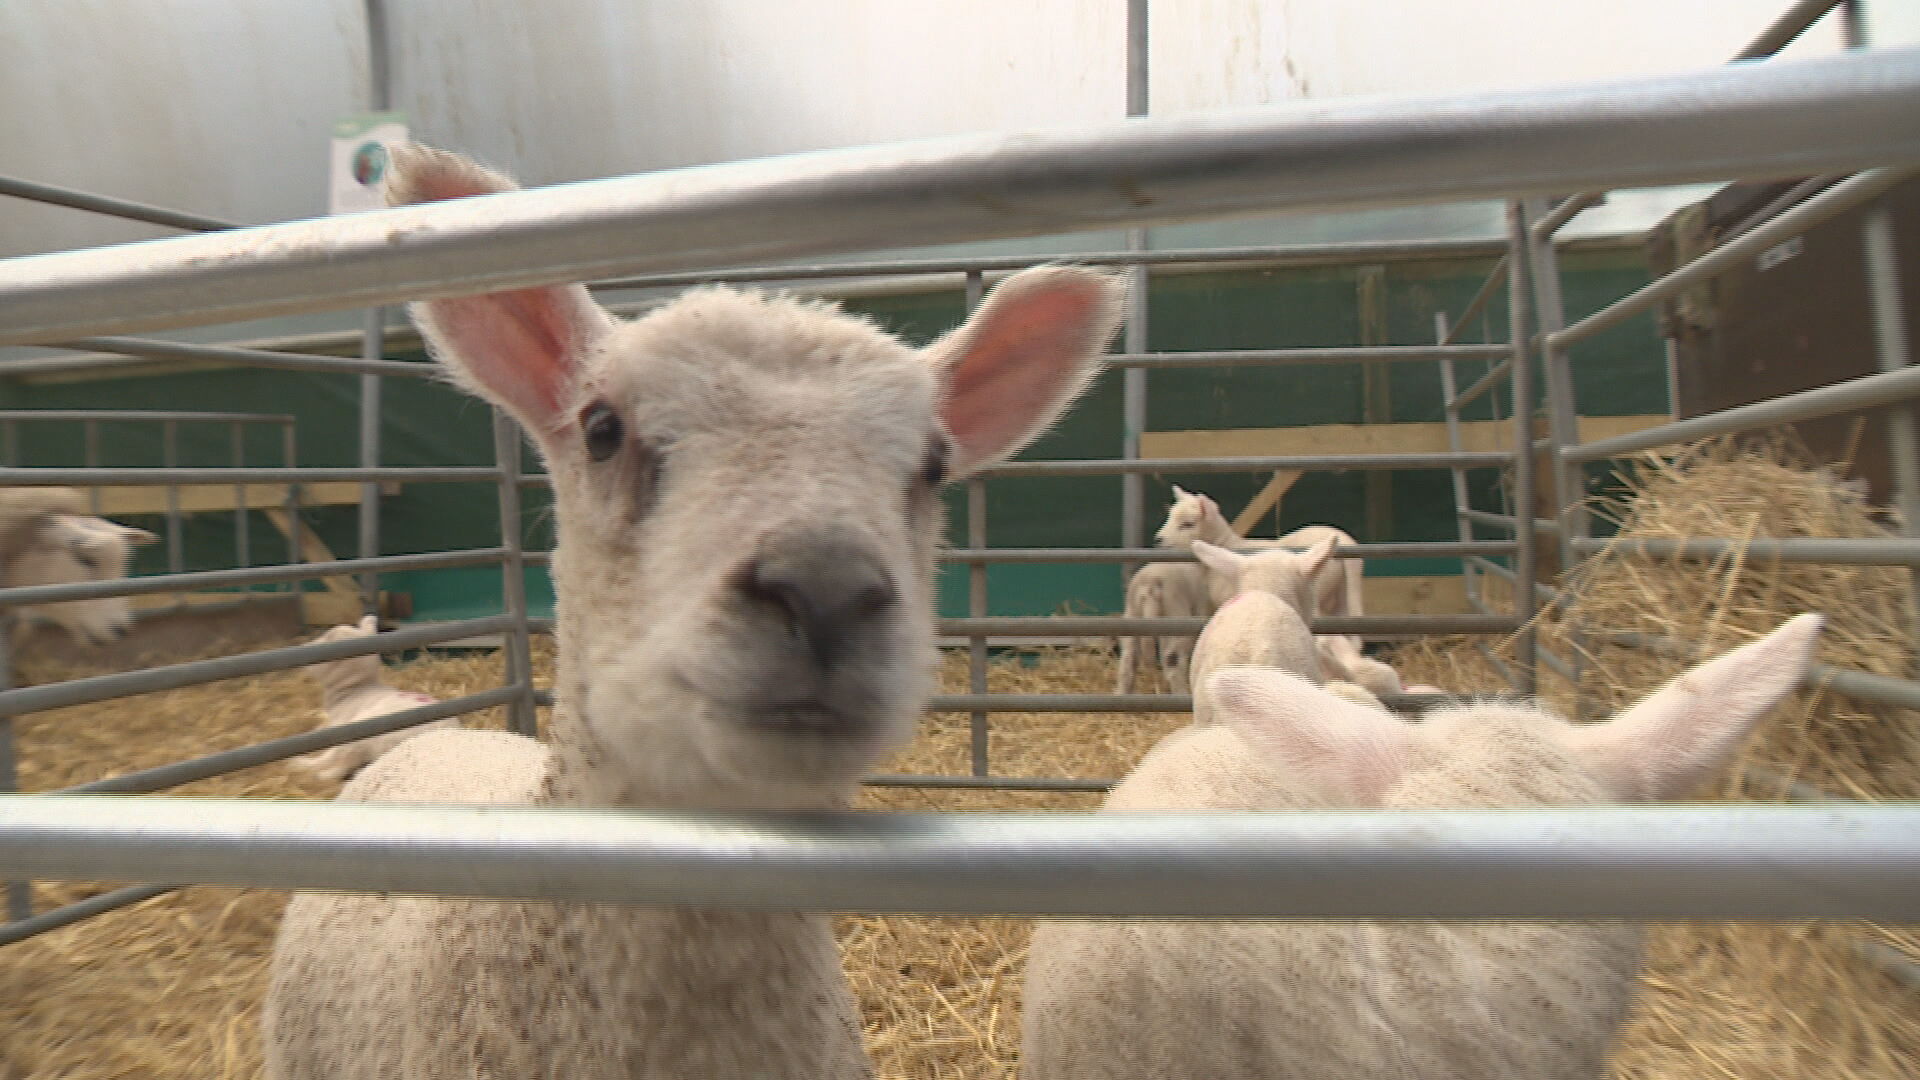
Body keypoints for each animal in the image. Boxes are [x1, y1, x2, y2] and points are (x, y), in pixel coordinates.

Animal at [286, 614, 455, 780]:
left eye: (324, 638)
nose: (303, 645)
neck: (355, 688)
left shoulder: (340, 730)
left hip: (361, 731)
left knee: (340, 765)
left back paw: (305, 766)